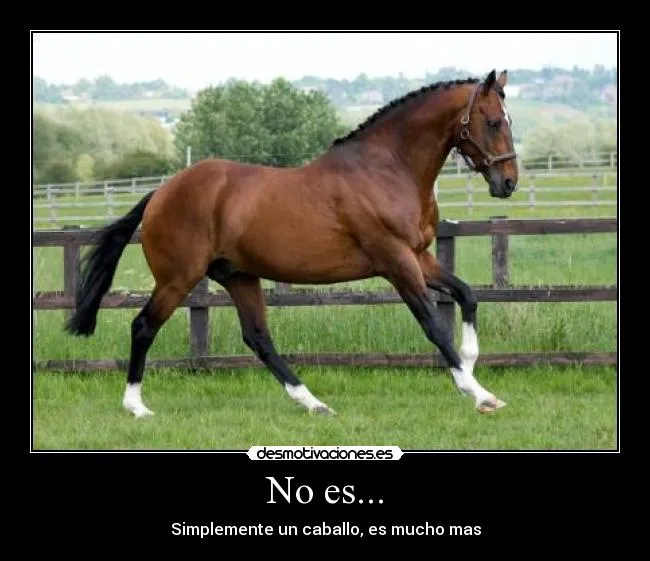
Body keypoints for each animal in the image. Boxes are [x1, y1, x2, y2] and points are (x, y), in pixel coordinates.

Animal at [64, 69, 518, 418]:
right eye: (494, 121)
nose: (508, 182)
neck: (388, 170)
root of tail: (161, 192)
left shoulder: (419, 257)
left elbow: (467, 295)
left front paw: (471, 364)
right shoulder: (396, 262)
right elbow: (433, 324)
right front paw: (480, 393)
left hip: (238, 275)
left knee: (259, 338)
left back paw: (313, 403)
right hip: (178, 279)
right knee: (143, 327)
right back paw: (136, 407)